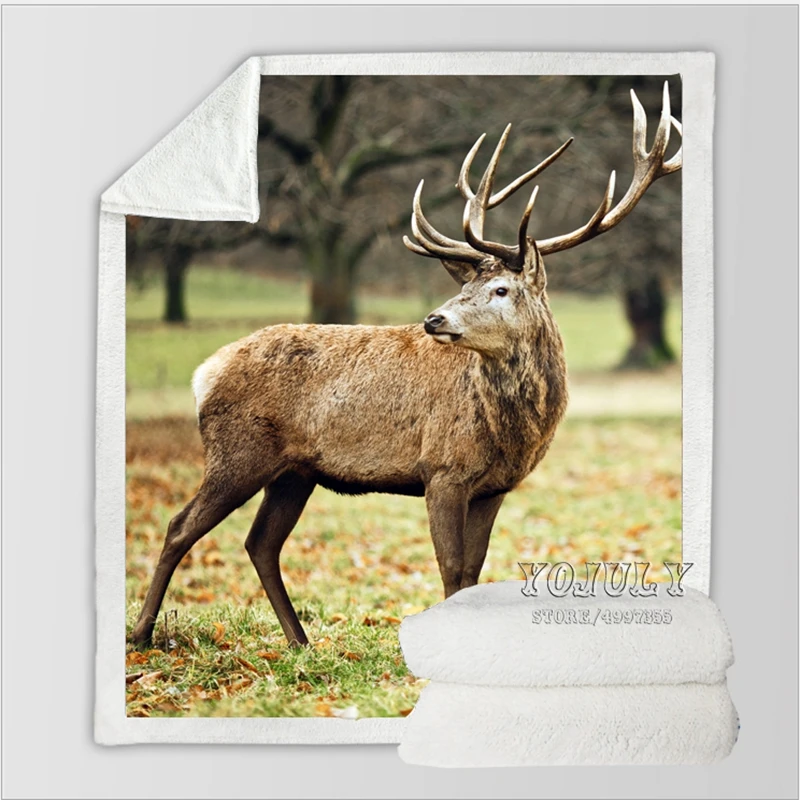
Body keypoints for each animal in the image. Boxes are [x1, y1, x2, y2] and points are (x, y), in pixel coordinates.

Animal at [130, 84, 682, 648]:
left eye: (500, 289)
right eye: (467, 286)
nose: (434, 317)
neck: (511, 433)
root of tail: (204, 373)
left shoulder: (495, 487)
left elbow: (472, 570)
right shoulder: (442, 469)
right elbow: (452, 568)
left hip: (294, 472)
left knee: (260, 542)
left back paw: (300, 642)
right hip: (237, 452)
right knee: (180, 526)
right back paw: (143, 634)